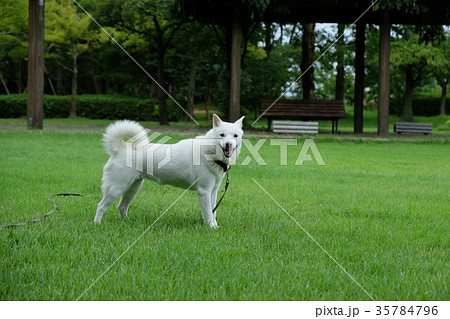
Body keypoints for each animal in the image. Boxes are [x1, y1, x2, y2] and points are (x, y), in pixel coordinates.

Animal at [92, 116, 244, 229]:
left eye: (235, 135)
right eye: (222, 135)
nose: (229, 144)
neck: (209, 152)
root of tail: (121, 148)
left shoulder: (213, 191)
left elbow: (214, 211)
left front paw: (215, 226)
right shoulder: (204, 191)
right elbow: (208, 213)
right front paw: (211, 227)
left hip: (133, 188)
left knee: (122, 207)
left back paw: (127, 222)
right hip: (116, 188)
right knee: (101, 206)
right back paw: (97, 224)